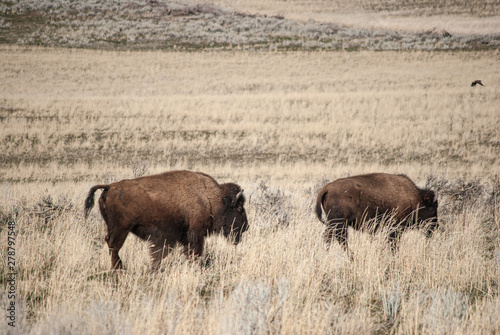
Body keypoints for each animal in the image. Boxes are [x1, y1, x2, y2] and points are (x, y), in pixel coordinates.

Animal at [86, 172, 250, 272]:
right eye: (239, 207)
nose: (246, 226)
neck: (211, 199)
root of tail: (110, 187)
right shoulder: (195, 235)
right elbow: (194, 253)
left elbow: (160, 254)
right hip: (121, 229)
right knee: (114, 246)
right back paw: (119, 269)